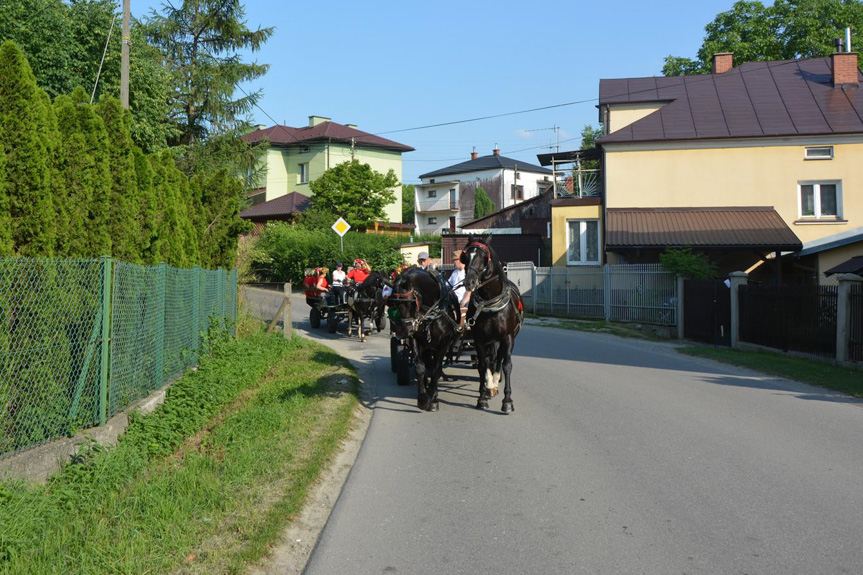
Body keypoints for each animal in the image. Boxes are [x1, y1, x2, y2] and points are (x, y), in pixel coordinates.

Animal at [388, 268, 462, 412]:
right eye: (394, 304)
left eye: (410, 302)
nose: (405, 330)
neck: (432, 313)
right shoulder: (416, 340)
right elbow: (420, 368)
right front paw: (422, 399)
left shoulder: (444, 343)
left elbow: (436, 370)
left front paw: (433, 399)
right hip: (427, 346)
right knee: (428, 364)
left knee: (434, 367)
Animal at [462, 236, 524, 412]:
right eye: (465, 257)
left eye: (484, 257)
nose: (469, 282)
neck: (489, 303)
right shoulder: (479, 339)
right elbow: (483, 366)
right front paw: (482, 397)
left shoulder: (508, 337)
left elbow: (506, 365)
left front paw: (507, 401)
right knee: (491, 359)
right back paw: (490, 386)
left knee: (499, 359)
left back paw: (495, 383)